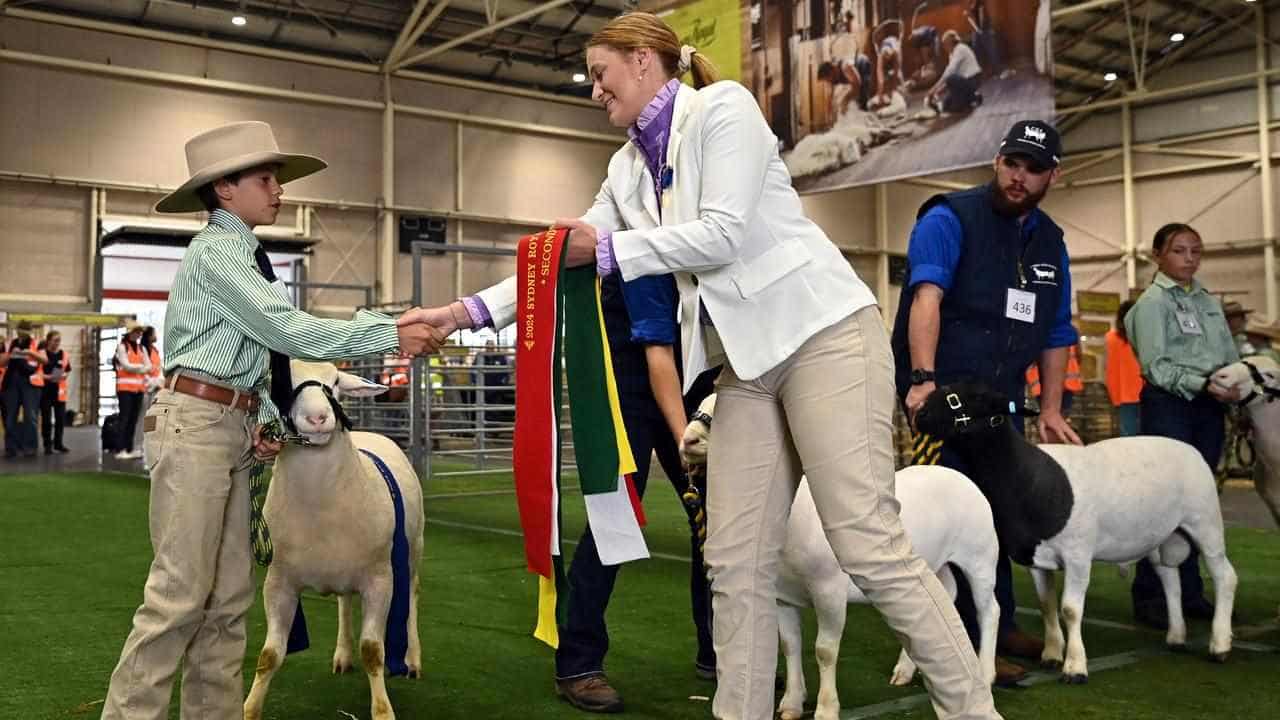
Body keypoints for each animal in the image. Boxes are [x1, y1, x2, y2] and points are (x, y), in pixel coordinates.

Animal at [244, 361, 430, 717]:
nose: (318, 417)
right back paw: (343, 655)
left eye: (335, 383)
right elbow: (269, 656)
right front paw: (249, 708)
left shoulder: (380, 580)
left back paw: (413, 658)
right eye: (282, 384)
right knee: (344, 603)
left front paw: (383, 711)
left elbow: (373, 651)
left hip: (413, 549)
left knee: (413, 595)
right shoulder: (278, 582)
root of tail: (369, 433)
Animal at [680, 392, 998, 717]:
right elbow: (790, 645)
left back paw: (985, 674)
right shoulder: (782, 594)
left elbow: (825, 650)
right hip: (936, 560)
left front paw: (826, 709)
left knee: (989, 609)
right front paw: (792, 703)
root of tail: (959, 477)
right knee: (944, 593)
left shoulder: (828, 589)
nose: (688, 440)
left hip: (981, 555)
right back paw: (906, 669)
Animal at [916, 379, 1233, 681]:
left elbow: (1069, 609)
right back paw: (1176, 636)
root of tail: (1191, 450)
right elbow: (1047, 605)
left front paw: (1075, 667)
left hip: (1206, 522)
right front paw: (1052, 654)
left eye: (971, 397)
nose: (920, 414)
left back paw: (1219, 644)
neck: (1027, 477)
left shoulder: (1078, 554)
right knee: (1170, 579)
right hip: (1160, 535)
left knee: (1224, 576)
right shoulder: (1037, 557)